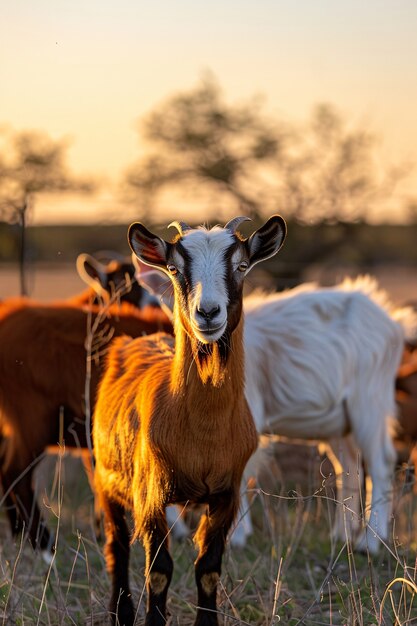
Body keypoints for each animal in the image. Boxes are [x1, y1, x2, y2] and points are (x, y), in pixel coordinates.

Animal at [92, 214, 284, 624]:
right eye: (175, 269)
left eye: (242, 266)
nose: (208, 313)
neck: (202, 436)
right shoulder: (150, 496)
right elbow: (159, 570)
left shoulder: (226, 495)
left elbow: (208, 568)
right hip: (106, 478)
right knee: (117, 546)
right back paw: (121, 612)